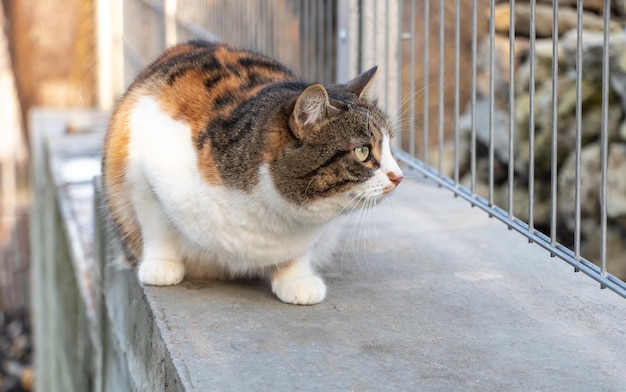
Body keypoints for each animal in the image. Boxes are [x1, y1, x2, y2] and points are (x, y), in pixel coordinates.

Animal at [100, 41, 402, 308]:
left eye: (389, 145)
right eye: (363, 151)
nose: (398, 176)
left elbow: (298, 253)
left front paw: (296, 279)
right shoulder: (142, 167)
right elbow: (156, 226)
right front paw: (161, 265)